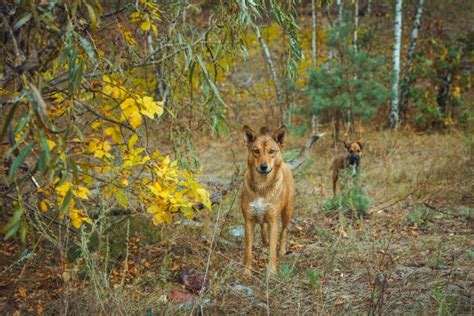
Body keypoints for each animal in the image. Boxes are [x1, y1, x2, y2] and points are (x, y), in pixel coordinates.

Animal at [243, 126, 294, 274]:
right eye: (256, 151)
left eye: (272, 151)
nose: (264, 167)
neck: (262, 186)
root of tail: (286, 164)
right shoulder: (248, 220)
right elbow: (248, 250)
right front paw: (247, 271)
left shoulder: (273, 220)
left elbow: (272, 249)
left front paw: (271, 272)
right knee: (262, 226)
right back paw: (265, 240)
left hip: (287, 213)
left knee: (283, 232)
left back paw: (282, 250)